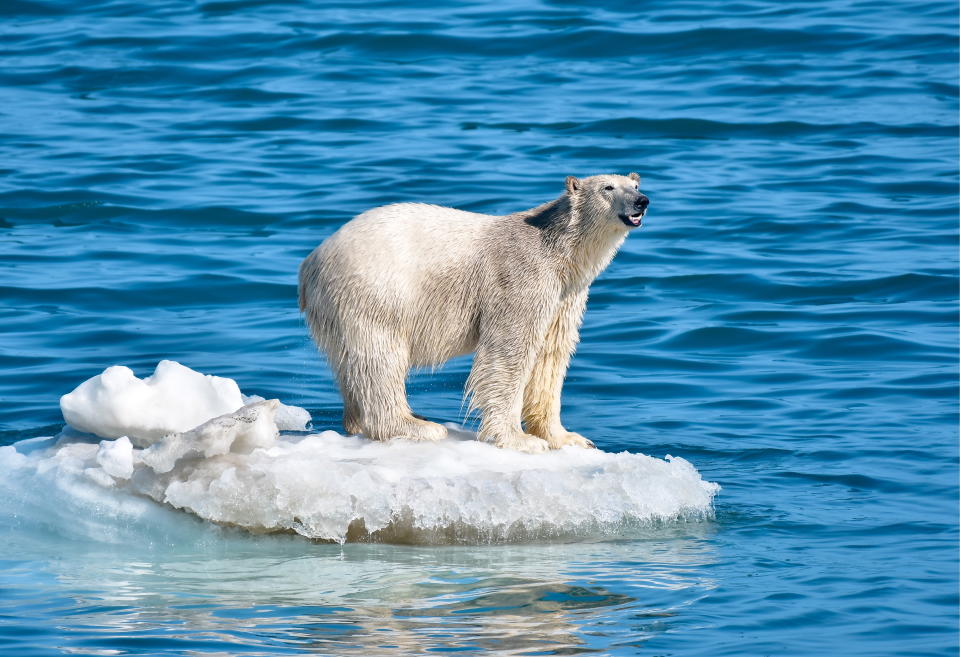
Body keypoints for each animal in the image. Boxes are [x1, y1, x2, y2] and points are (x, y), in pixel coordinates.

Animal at [296, 173, 648, 452]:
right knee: (380, 358)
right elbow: (509, 352)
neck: (555, 247)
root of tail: (310, 263)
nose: (641, 201)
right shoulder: (520, 277)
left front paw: (568, 438)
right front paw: (519, 439)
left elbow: (551, 356)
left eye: (634, 184)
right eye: (607, 187)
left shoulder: (564, 296)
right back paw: (416, 426)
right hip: (373, 292)